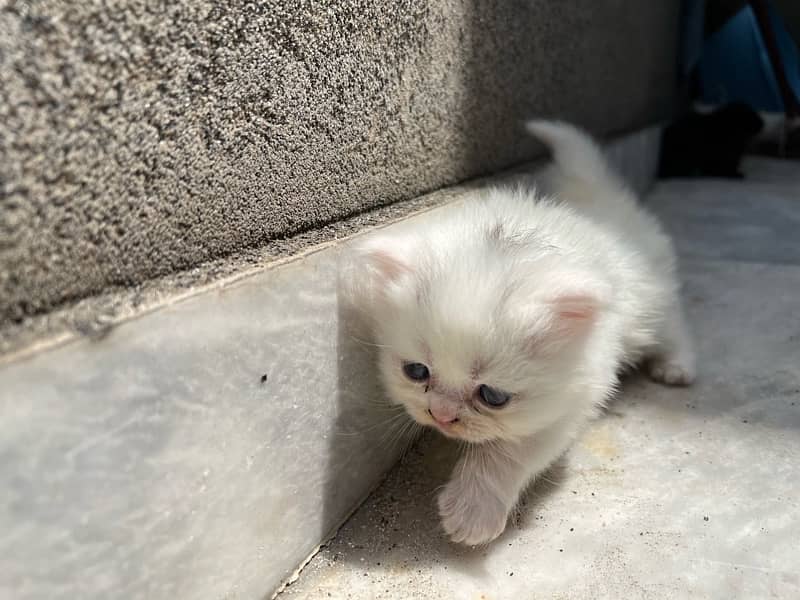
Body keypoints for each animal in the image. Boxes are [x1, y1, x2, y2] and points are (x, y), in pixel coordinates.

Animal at [340, 119, 696, 548]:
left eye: (492, 397)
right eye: (416, 372)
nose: (441, 417)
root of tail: (598, 196)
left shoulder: (574, 396)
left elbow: (510, 448)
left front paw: (473, 511)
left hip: (653, 305)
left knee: (673, 326)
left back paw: (676, 367)